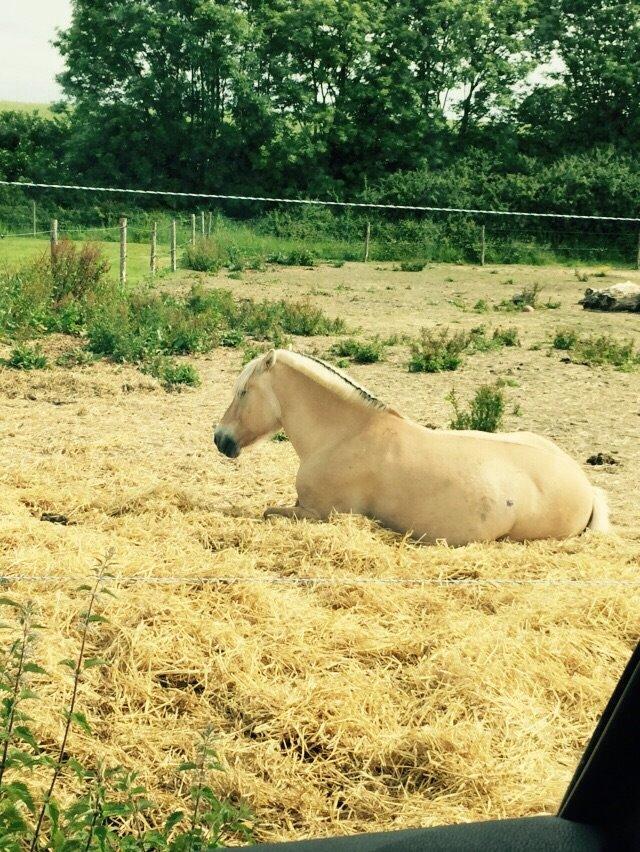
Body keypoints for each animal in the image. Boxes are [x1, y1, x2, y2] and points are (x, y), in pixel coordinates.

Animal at [215, 348, 608, 544]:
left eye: (243, 392)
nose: (220, 439)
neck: (345, 435)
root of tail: (584, 486)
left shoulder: (319, 513)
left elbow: (267, 512)